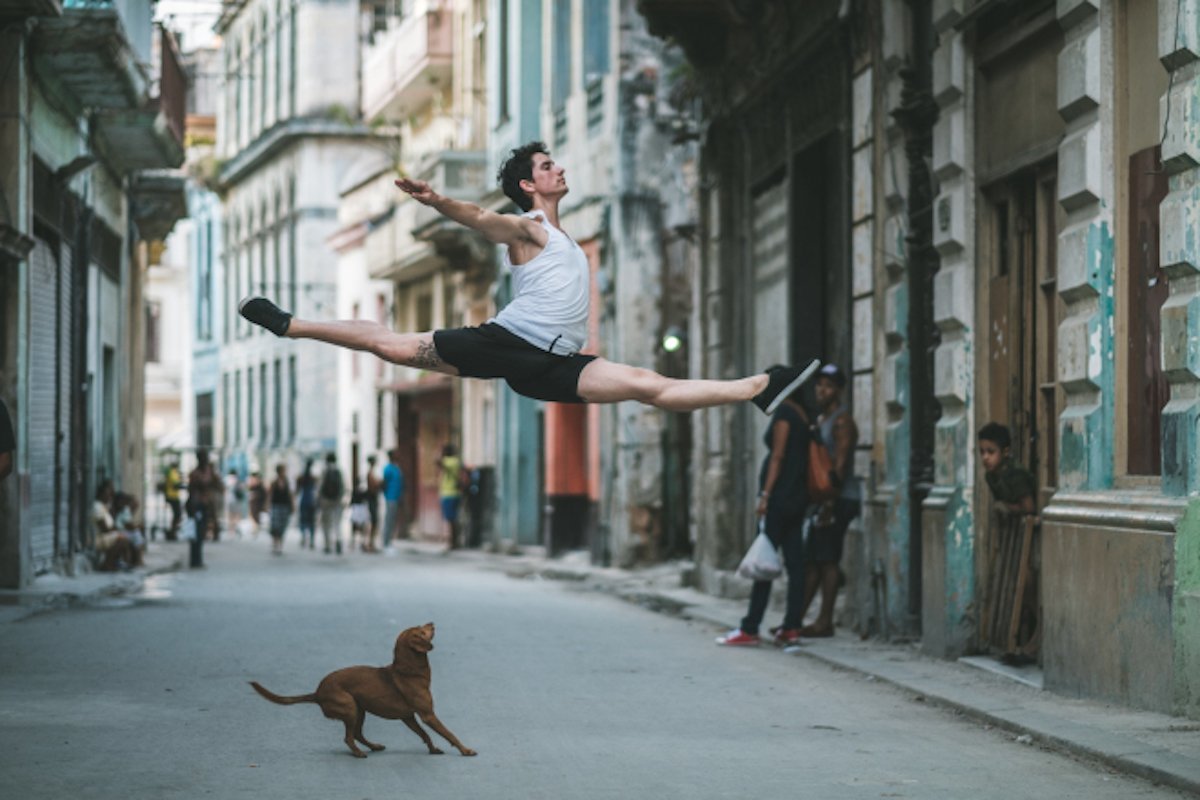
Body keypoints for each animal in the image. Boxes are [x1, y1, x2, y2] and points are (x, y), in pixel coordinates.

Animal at [250, 623, 475, 762]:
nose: (432, 622)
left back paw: (373, 747)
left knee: (357, 733)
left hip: (360, 710)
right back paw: (359, 754)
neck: (409, 670)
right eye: (421, 629)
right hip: (350, 707)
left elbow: (425, 734)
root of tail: (317, 692)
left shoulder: (409, 717)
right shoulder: (428, 715)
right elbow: (450, 733)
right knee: (348, 738)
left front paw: (433, 749)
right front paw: (466, 750)